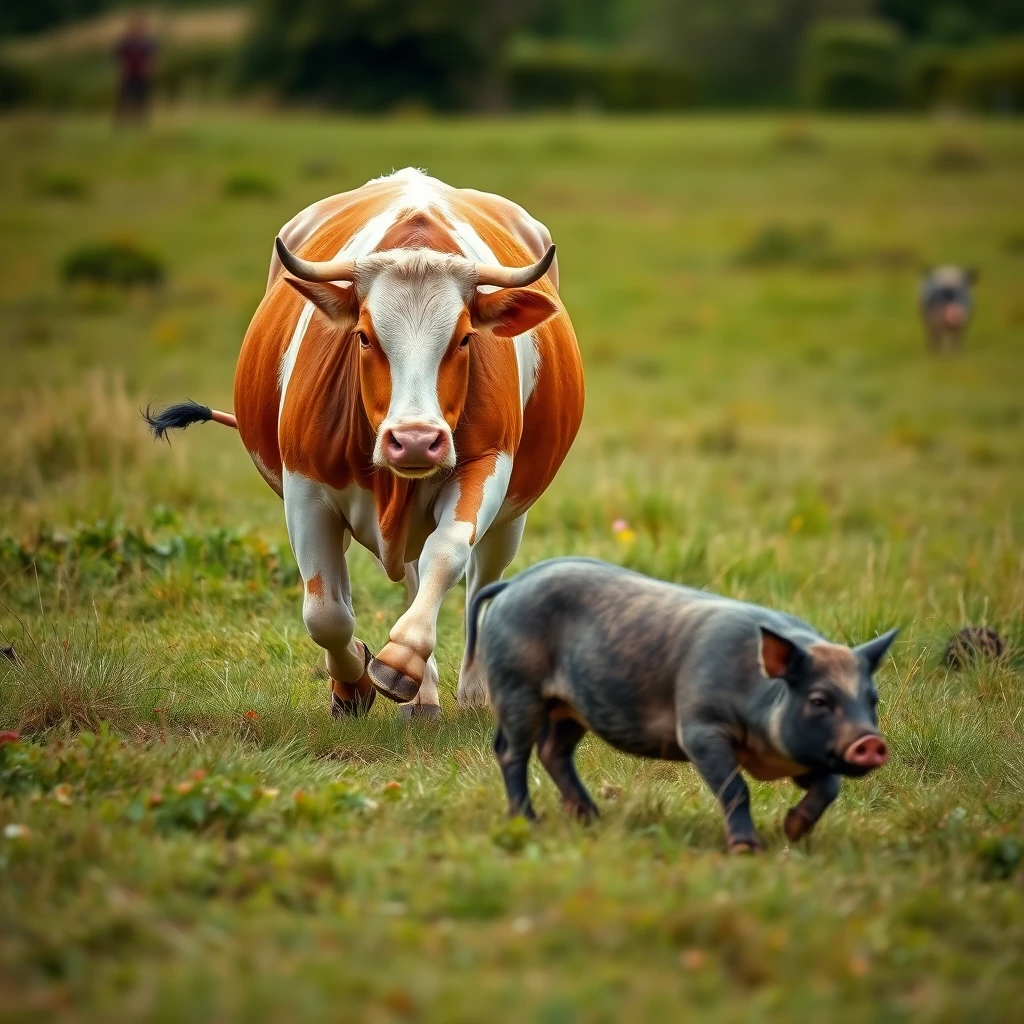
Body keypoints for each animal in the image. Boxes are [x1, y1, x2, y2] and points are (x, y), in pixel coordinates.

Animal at [148, 165, 589, 720]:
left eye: (465, 338)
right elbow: (326, 612)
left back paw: (472, 691)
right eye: (363, 335)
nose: (416, 441)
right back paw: (423, 695)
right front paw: (354, 682)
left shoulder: (489, 464)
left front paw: (399, 660)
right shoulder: (304, 487)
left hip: (514, 513)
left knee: (480, 576)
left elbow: (448, 553)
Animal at [468, 557, 901, 851]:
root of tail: (513, 583)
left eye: (872, 699)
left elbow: (830, 785)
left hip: (569, 707)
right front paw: (747, 849)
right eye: (818, 700)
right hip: (517, 686)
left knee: (553, 750)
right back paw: (529, 821)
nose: (870, 742)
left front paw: (791, 831)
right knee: (510, 751)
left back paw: (591, 818)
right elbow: (735, 788)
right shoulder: (699, 728)